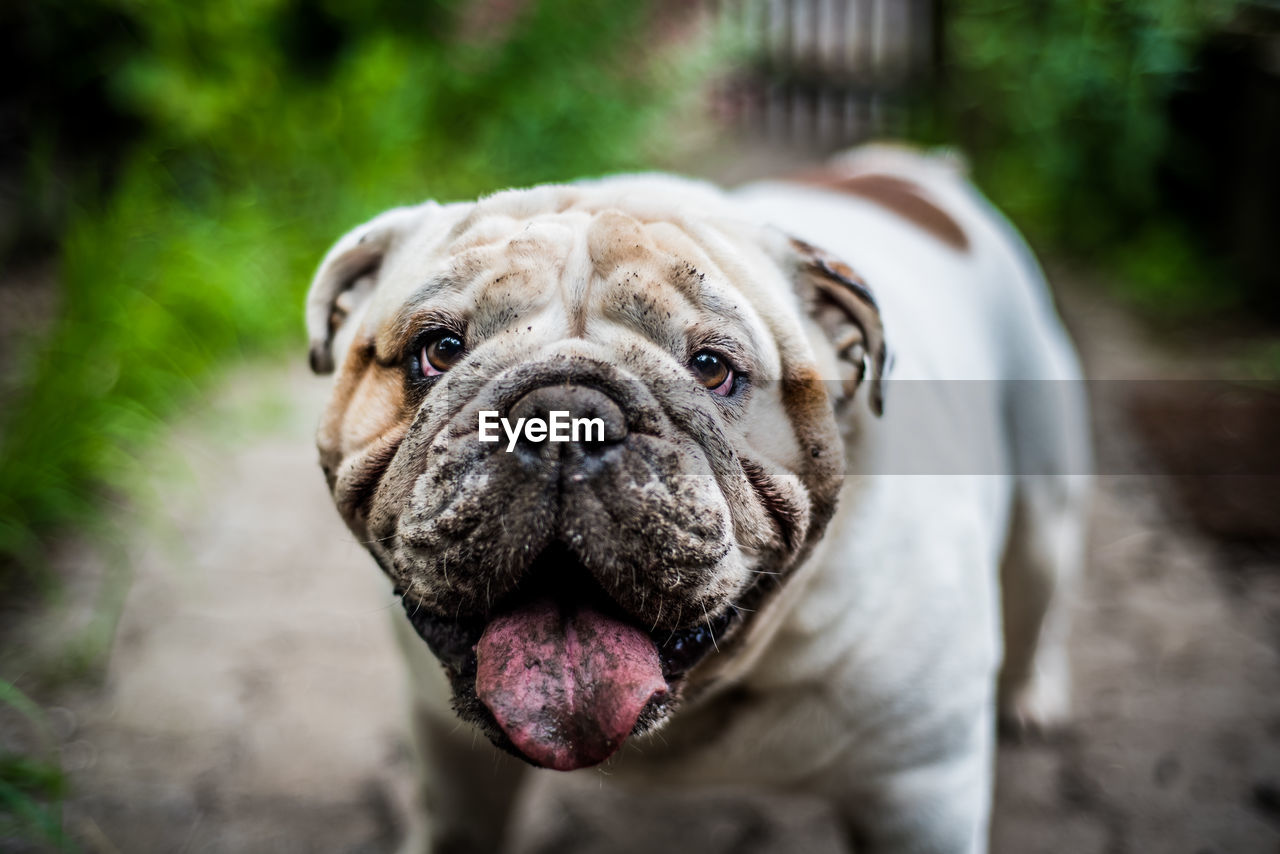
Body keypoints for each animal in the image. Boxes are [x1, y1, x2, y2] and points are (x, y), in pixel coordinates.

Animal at [302, 148, 1090, 854]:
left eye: (712, 368)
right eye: (437, 350)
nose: (565, 416)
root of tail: (915, 169)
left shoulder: (921, 791)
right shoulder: (455, 772)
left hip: (1044, 503)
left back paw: (1031, 697)